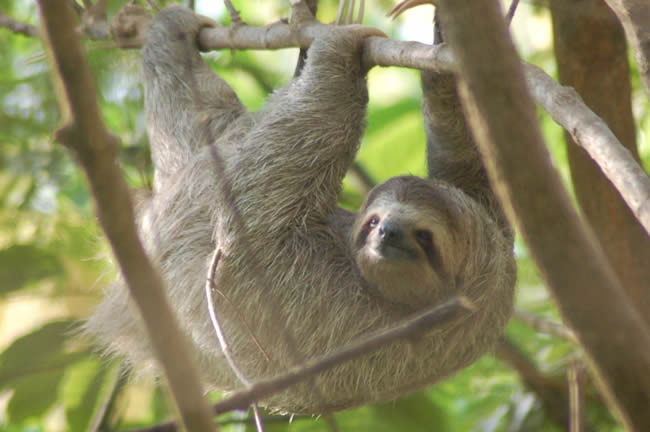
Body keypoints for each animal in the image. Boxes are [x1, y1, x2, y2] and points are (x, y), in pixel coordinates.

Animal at [85, 5, 516, 414]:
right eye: (374, 220)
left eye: (425, 237)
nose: (388, 232)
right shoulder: (496, 229)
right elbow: (469, 153)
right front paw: (450, 38)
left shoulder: (332, 310)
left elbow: (246, 251)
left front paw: (339, 47)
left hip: (183, 195)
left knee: (199, 118)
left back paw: (171, 33)